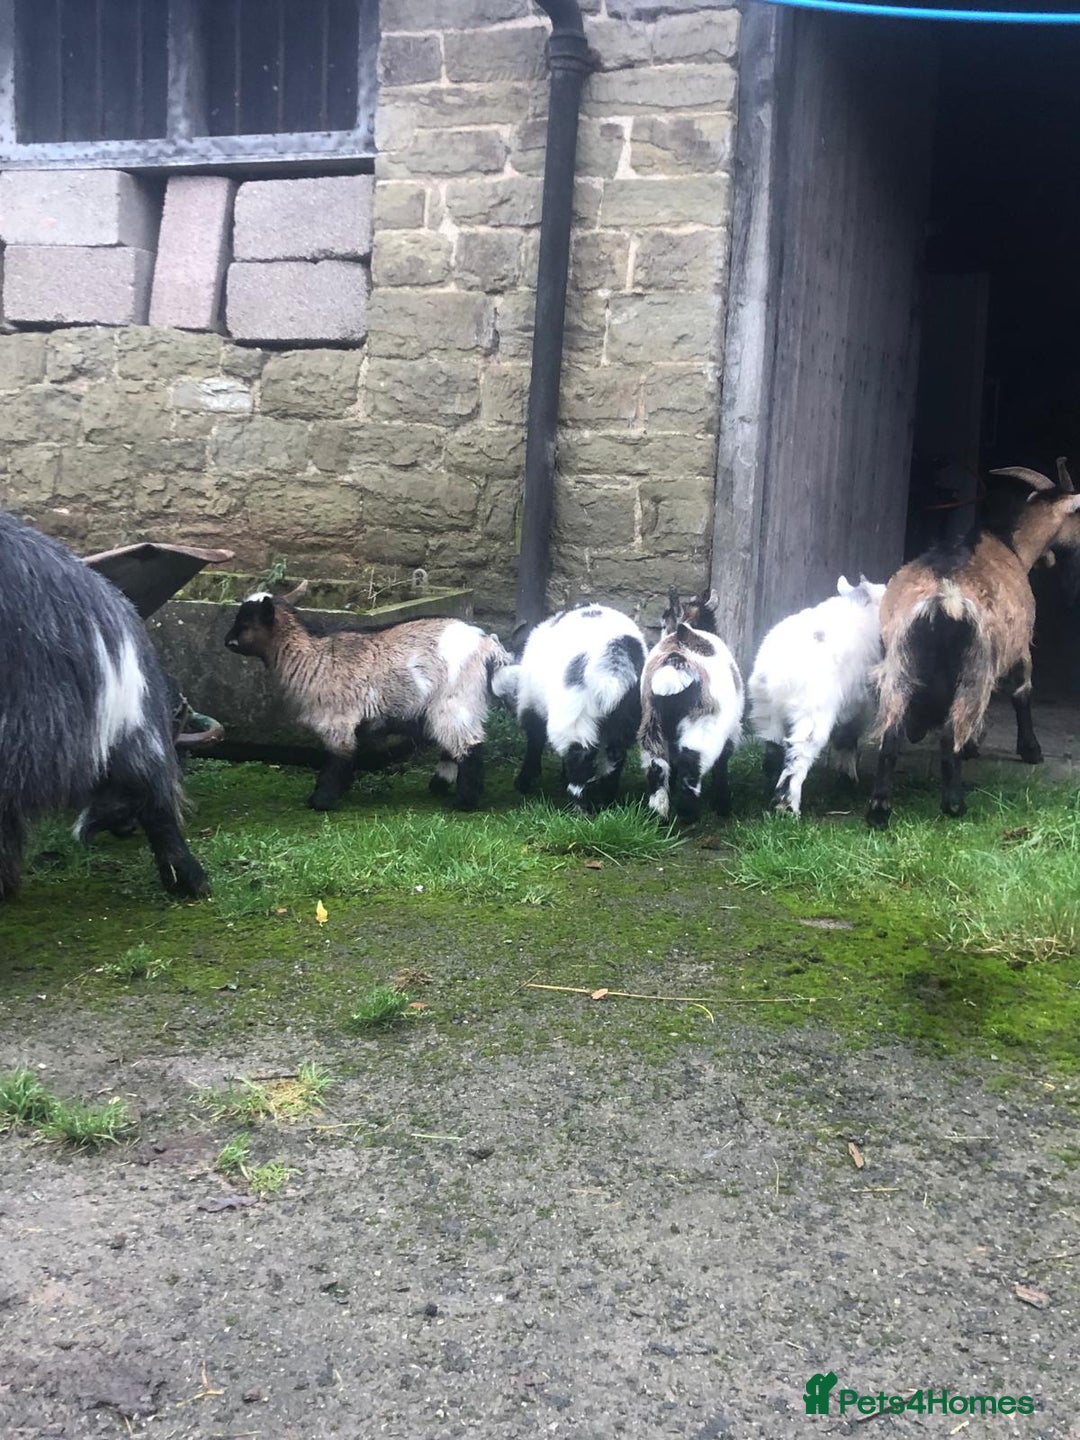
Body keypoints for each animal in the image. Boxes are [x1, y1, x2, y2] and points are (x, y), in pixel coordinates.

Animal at [223, 589, 509, 811]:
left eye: (245, 622)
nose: (227, 641)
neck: (310, 657)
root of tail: (488, 646)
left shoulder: (336, 720)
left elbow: (337, 760)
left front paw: (321, 800)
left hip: (456, 699)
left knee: (469, 747)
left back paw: (465, 801)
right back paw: (439, 786)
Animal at [491, 604, 646, 809]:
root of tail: (616, 661)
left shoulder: (531, 706)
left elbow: (535, 741)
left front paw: (524, 781)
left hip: (575, 713)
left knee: (580, 756)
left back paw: (579, 807)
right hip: (626, 717)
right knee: (614, 756)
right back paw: (606, 802)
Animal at [639, 590, 743, 822]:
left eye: (663, 623)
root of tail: (675, 662)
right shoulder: (731, 729)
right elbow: (723, 762)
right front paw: (723, 805)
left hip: (652, 721)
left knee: (657, 765)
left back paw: (659, 816)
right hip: (702, 726)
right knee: (691, 765)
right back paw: (688, 815)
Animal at [747, 575, 886, 815]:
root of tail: (775, 672)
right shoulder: (860, 707)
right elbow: (847, 738)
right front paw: (847, 780)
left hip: (765, 708)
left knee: (773, 748)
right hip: (812, 712)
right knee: (798, 756)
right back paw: (787, 807)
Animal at [867, 469, 1080, 827]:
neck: (1011, 545)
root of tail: (944, 597)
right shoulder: (1020, 644)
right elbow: (1022, 691)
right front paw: (1031, 750)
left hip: (900, 659)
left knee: (891, 730)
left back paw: (879, 809)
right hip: (975, 666)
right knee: (951, 730)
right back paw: (954, 803)